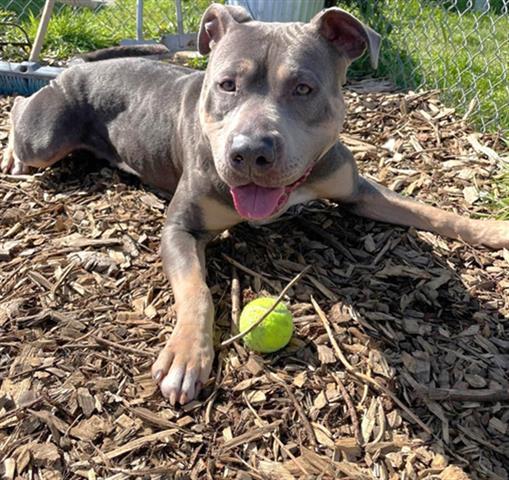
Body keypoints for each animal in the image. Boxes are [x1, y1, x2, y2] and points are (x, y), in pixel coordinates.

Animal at [1, 3, 506, 404]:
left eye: (303, 88)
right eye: (226, 85)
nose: (249, 152)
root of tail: (74, 67)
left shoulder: (357, 191)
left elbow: (428, 210)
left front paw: (491, 229)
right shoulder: (180, 228)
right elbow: (196, 291)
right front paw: (187, 355)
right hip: (45, 137)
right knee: (19, 113)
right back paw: (12, 154)